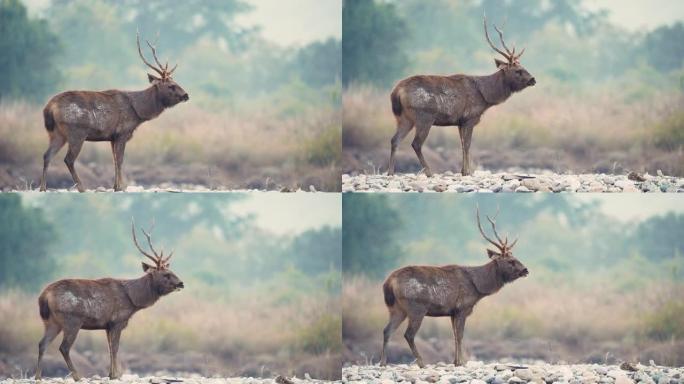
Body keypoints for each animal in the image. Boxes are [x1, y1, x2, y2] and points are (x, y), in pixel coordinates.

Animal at [34, 220, 184, 380]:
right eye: (166, 274)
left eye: (172, 271)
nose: (181, 283)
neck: (133, 300)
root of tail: (44, 295)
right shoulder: (118, 321)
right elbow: (115, 347)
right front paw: (115, 375)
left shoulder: (107, 325)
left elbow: (110, 348)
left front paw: (111, 374)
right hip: (72, 320)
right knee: (64, 347)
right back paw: (77, 376)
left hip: (51, 321)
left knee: (42, 344)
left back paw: (38, 377)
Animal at [40, 31, 190, 192]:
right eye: (170, 86)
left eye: (175, 82)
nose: (186, 95)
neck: (138, 112)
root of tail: (49, 107)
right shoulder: (122, 132)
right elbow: (120, 159)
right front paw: (121, 187)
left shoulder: (112, 136)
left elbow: (114, 160)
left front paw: (115, 186)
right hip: (76, 132)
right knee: (68, 159)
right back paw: (81, 187)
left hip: (56, 133)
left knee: (47, 155)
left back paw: (43, 188)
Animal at [380, 207, 528, 366]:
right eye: (510, 261)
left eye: (516, 257)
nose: (526, 270)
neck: (478, 287)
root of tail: (389, 282)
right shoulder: (462, 308)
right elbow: (460, 335)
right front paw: (460, 362)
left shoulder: (452, 312)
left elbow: (454, 335)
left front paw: (455, 361)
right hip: (416, 307)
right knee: (408, 334)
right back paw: (421, 362)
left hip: (396, 308)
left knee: (387, 330)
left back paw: (383, 362)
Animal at [388, 14, 536, 177]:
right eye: (517, 70)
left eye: (523, 66)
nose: (533, 79)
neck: (486, 96)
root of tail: (396, 91)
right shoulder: (470, 118)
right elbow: (467, 144)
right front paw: (467, 172)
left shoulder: (459, 121)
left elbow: (462, 144)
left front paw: (463, 171)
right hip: (424, 116)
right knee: (416, 143)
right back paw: (428, 172)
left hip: (404, 117)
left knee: (394, 140)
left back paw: (390, 172)